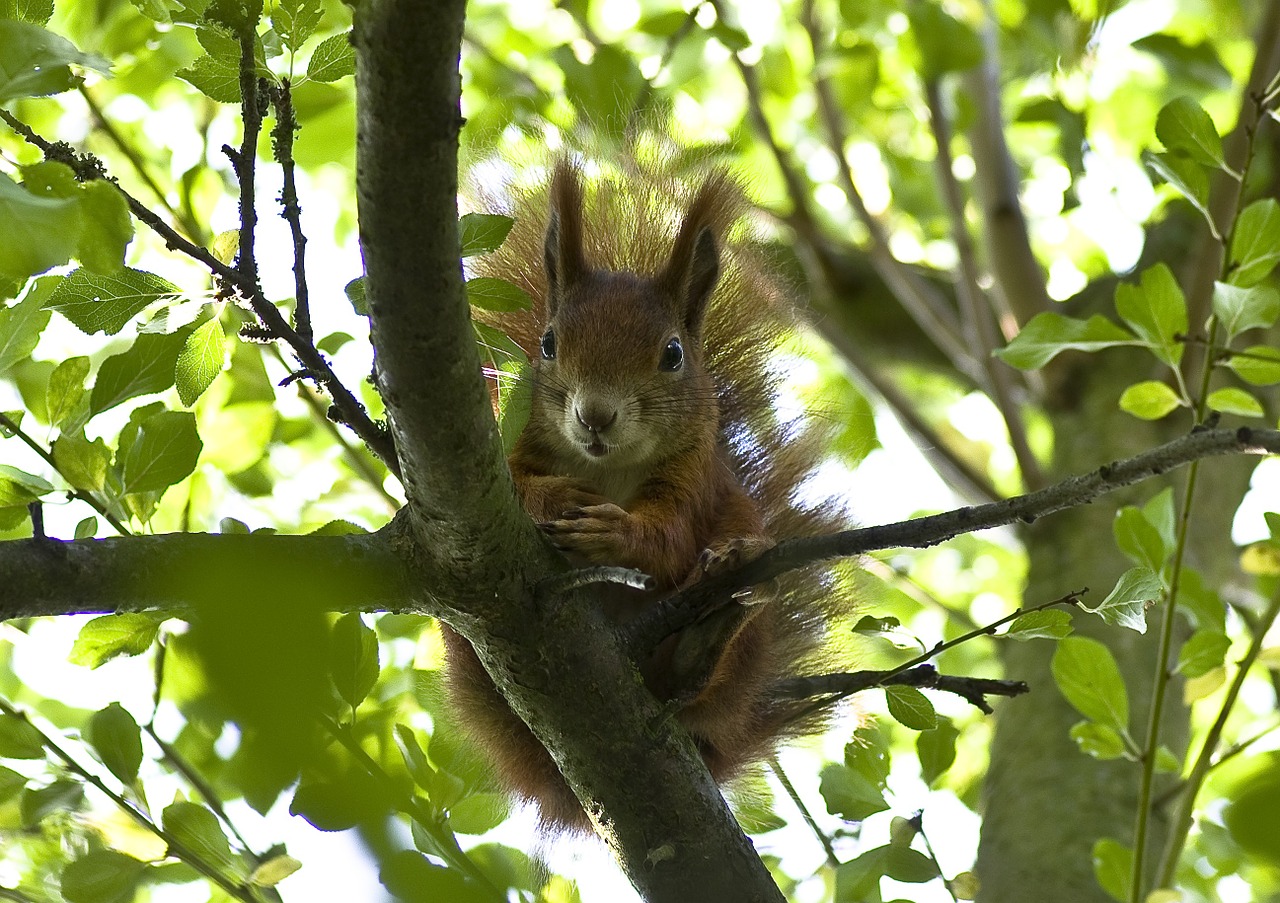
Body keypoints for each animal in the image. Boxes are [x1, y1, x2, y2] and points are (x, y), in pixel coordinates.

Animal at [440, 156, 849, 829]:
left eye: (673, 354)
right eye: (548, 343)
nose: (595, 416)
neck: (608, 469)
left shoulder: (695, 480)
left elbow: (671, 539)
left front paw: (613, 532)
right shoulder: (507, 452)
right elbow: (520, 486)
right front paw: (559, 498)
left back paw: (708, 631)